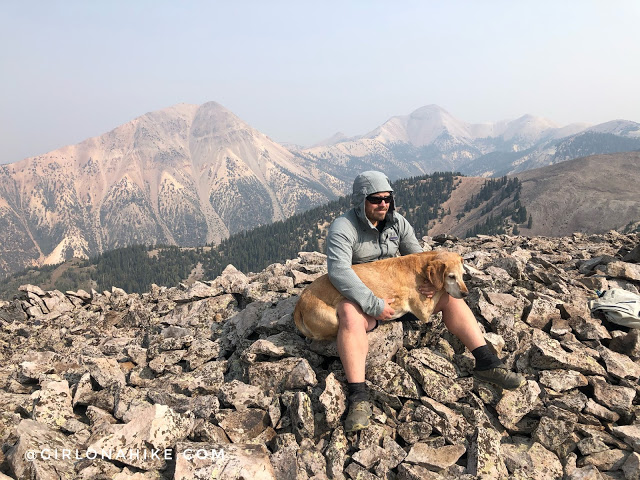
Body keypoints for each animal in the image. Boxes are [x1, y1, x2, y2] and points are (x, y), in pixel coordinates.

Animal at [292, 249, 468, 340]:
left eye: (463, 274)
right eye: (451, 276)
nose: (465, 294)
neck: (422, 267)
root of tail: (299, 304)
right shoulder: (423, 311)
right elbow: (442, 290)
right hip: (333, 321)